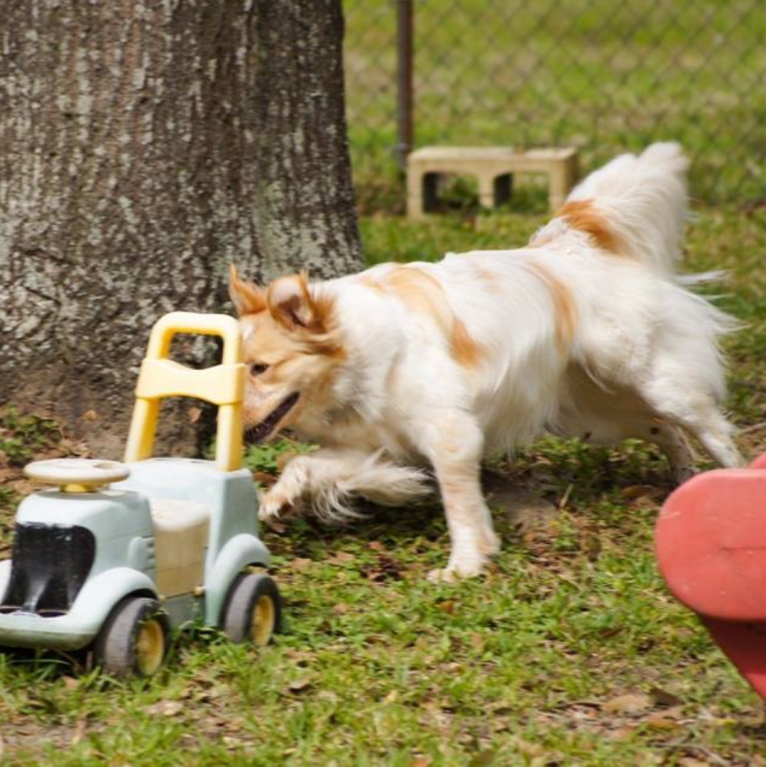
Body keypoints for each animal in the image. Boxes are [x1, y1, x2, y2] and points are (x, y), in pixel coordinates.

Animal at [230, 142, 744, 584]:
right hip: (589, 413)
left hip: (649, 379)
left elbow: (460, 504)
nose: (232, 428)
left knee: (708, 429)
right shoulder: (363, 444)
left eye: (260, 368)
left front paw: (464, 564)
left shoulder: (452, 436)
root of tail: (567, 246)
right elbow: (306, 464)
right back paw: (683, 481)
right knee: (665, 428)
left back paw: (732, 485)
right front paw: (281, 500)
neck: (359, 353)